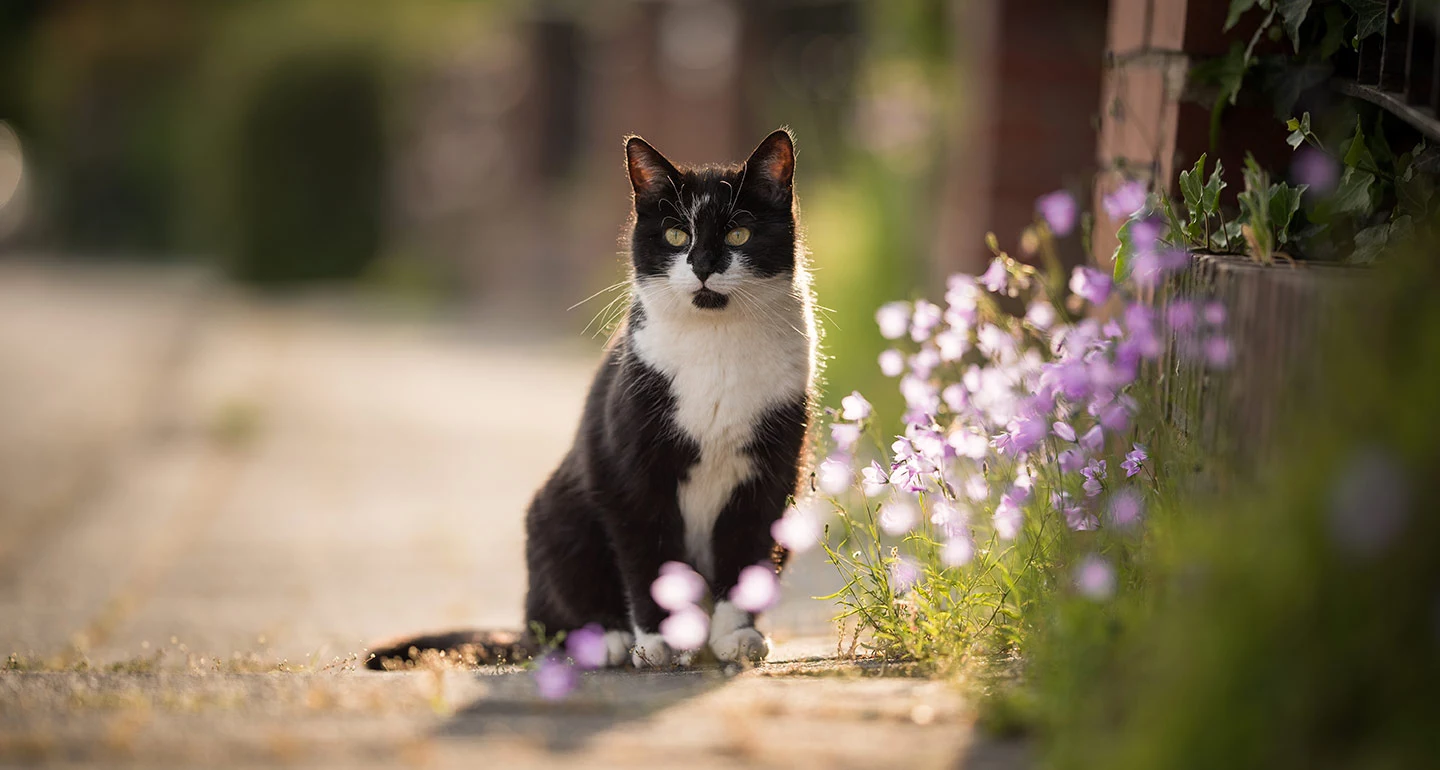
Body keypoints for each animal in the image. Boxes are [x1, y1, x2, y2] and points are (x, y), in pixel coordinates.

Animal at [365, 126, 817, 667]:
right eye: (676, 236)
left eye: (738, 235)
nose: (703, 266)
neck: (717, 345)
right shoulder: (630, 472)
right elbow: (649, 559)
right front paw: (661, 641)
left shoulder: (771, 473)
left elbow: (748, 551)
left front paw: (736, 636)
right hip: (558, 514)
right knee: (550, 622)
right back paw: (607, 641)